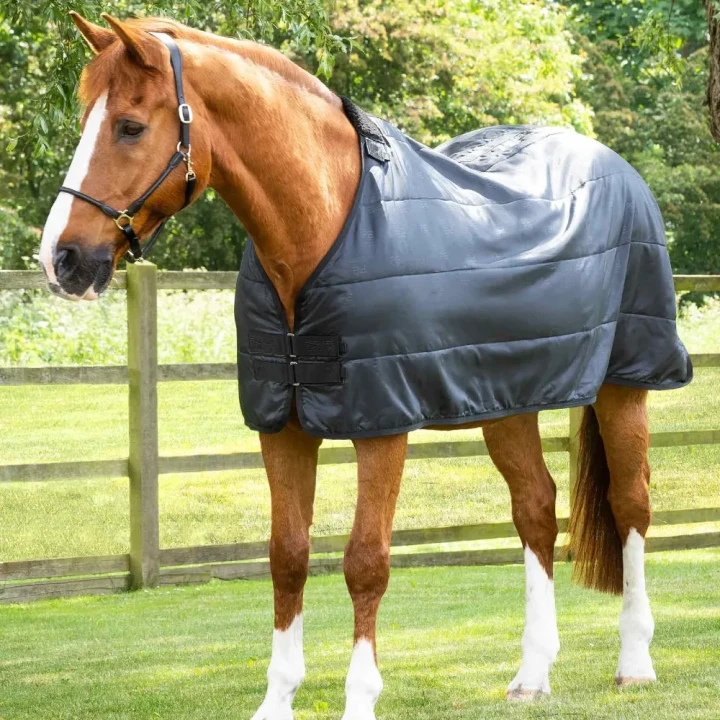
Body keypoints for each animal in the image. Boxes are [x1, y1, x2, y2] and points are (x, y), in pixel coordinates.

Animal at [39, 14, 692, 718]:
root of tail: (616, 167)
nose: (61, 259)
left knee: (630, 503)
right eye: (86, 118)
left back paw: (634, 663)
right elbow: (288, 555)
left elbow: (365, 562)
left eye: (130, 126)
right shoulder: (283, 426)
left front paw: (360, 699)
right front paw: (277, 699)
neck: (324, 227)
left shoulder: (382, 424)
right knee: (536, 510)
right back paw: (532, 674)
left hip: (626, 381)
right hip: (504, 400)